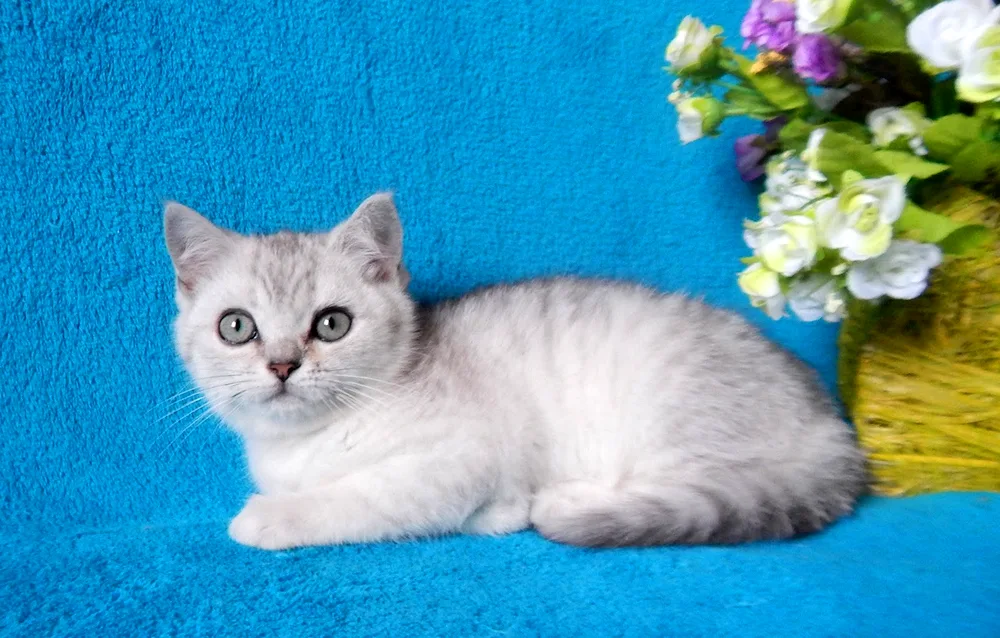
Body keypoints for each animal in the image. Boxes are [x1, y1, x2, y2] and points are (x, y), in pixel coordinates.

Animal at [164, 194, 868, 552]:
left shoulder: (458, 455)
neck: (304, 446)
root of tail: (831, 424)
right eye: (237, 327)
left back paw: (571, 500)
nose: (283, 364)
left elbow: (363, 498)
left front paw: (268, 519)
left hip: (674, 418)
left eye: (332, 324)